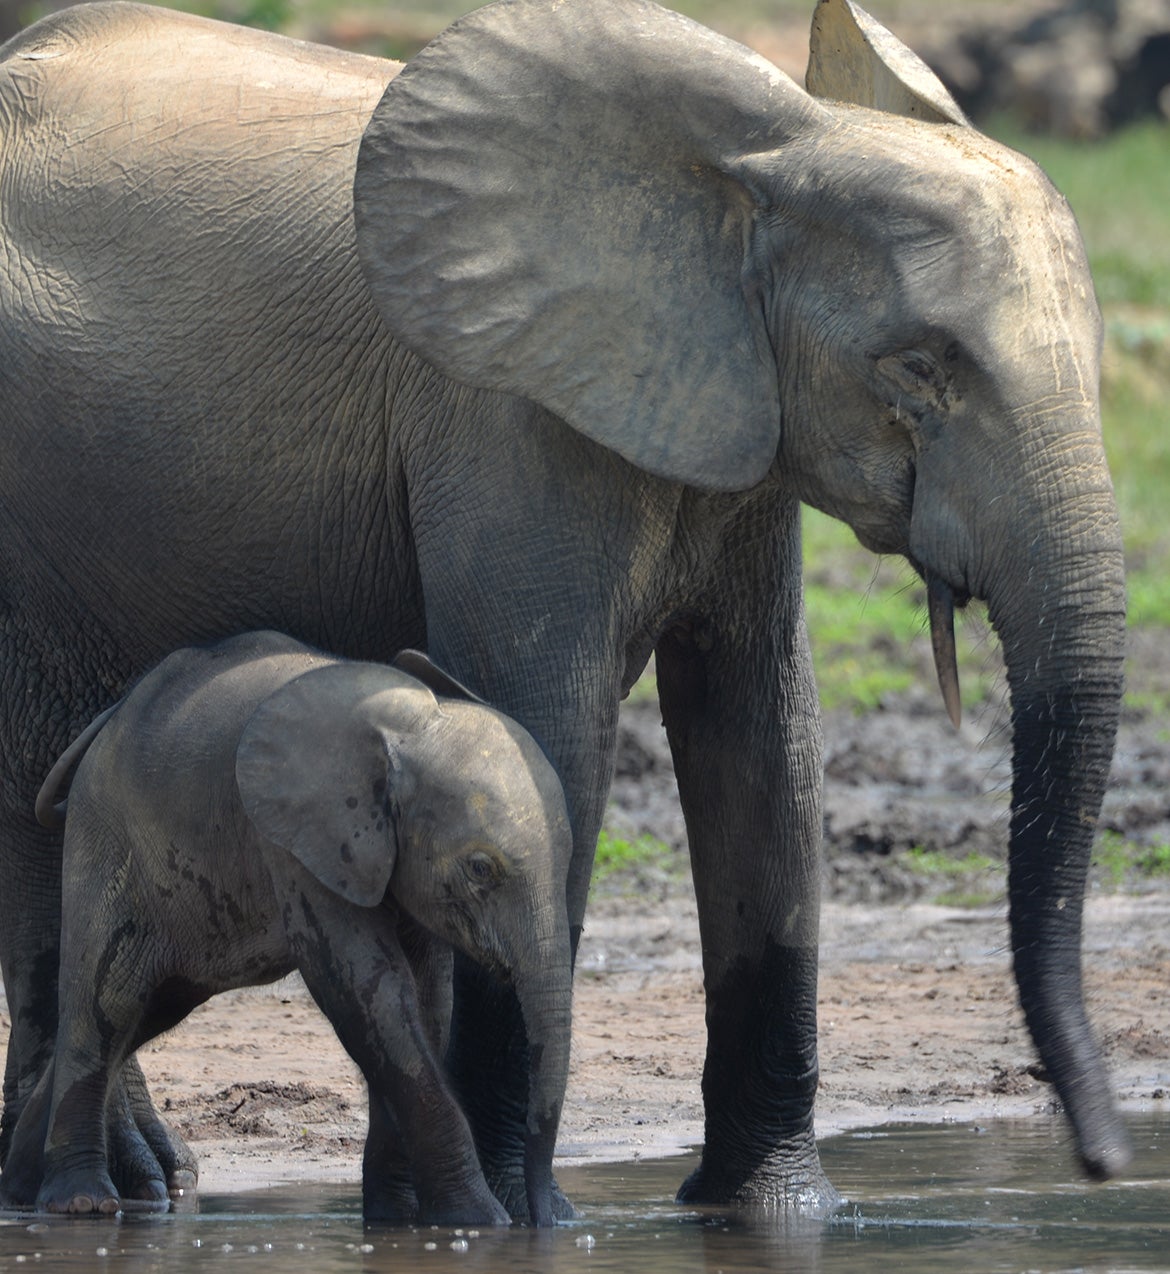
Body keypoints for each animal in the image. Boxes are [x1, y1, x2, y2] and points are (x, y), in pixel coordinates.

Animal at [0, 631, 572, 1224]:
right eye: (480, 869)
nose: (546, 1220)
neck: (409, 730)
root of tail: (110, 719)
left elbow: (424, 1002)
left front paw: (398, 1222)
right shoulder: (299, 844)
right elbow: (368, 991)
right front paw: (478, 1223)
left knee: (144, 1013)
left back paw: (20, 1193)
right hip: (105, 838)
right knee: (106, 1007)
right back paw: (80, 1203)